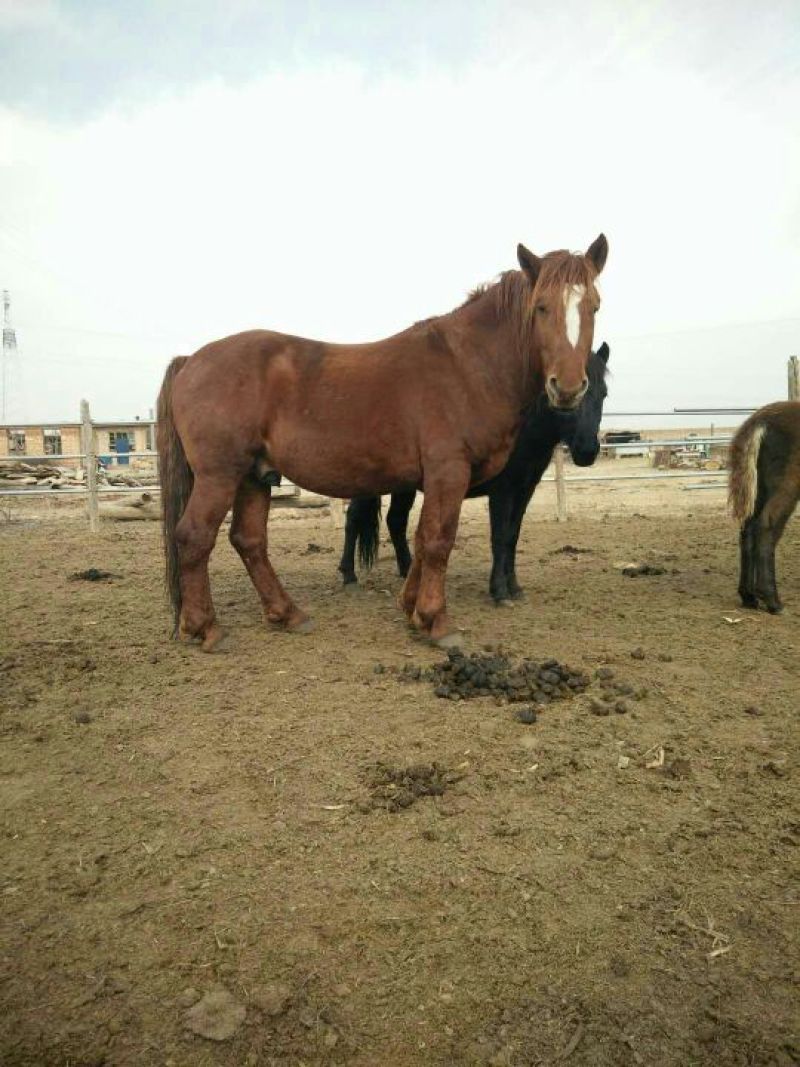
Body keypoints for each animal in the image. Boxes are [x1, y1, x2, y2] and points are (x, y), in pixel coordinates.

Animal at [338, 343, 610, 602]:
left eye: (604, 393)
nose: (587, 450)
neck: (522, 430)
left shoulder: (524, 491)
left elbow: (512, 536)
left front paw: (514, 587)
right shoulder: (502, 491)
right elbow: (499, 536)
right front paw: (499, 591)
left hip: (403, 488)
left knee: (396, 521)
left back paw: (406, 570)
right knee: (354, 519)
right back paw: (349, 575)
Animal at [729, 400, 800, 613]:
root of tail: (762, 420)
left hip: (759, 490)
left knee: (748, 529)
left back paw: (749, 596)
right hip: (786, 486)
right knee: (767, 526)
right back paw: (772, 600)